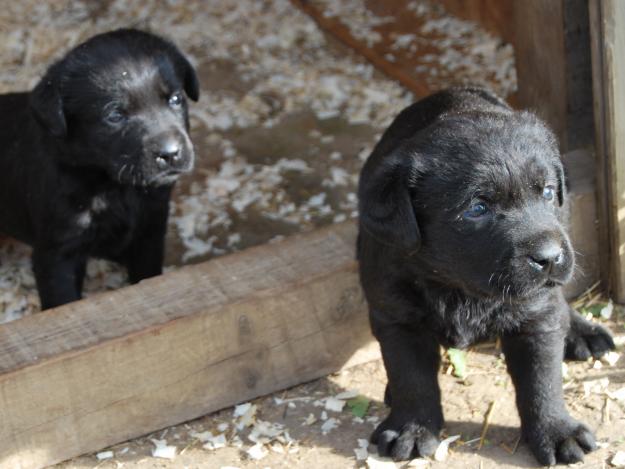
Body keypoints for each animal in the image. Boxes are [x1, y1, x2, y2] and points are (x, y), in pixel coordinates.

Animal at [0, 28, 197, 308]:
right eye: (114, 116)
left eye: (176, 99)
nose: (171, 153)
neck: (113, 185)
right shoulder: (57, 253)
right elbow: (63, 300)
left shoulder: (150, 230)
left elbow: (147, 275)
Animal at [356, 87, 616, 464]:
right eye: (477, 208)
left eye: (547, 191)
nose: (550, 258)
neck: (459, 287)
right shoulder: (396, 313)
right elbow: (411, 377)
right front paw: (412, 429)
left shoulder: (535, 316)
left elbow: (542, 380)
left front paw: (557, 430)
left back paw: (583, 331)